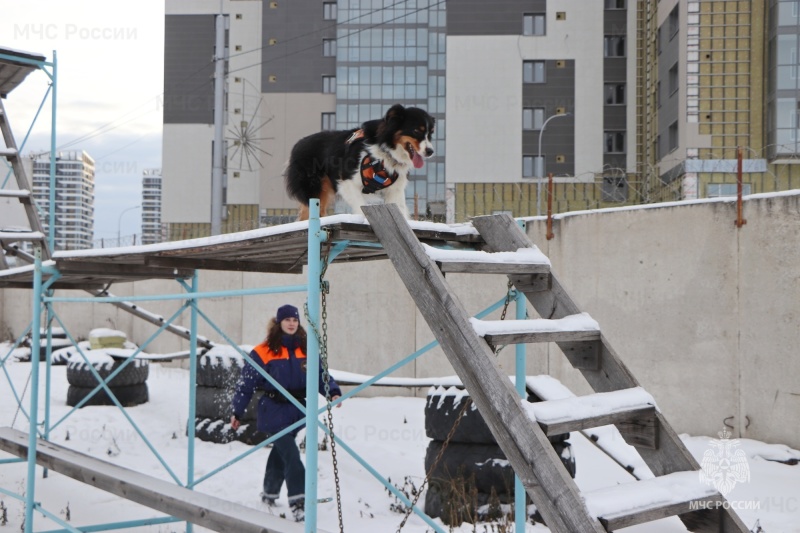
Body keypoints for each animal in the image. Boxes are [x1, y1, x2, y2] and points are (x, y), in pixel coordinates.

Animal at [282, 103, 432, 219]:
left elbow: (399, 209)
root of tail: (297, 145)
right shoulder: (347, 181)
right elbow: (361, 204)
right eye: (416, 131)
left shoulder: (395, 189)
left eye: (430, 133)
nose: (430, 151)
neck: (385, 150)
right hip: (314, 186)